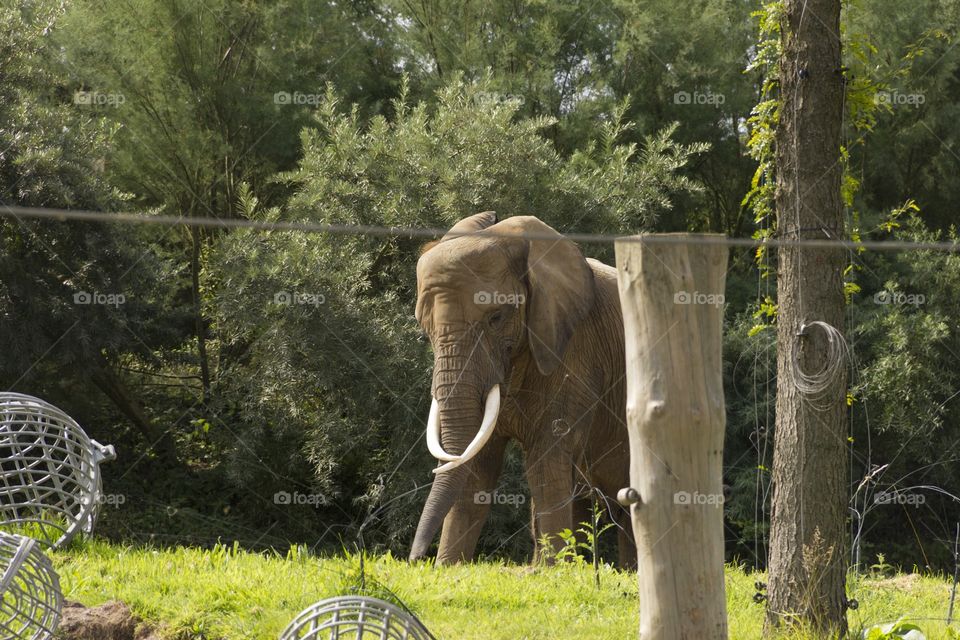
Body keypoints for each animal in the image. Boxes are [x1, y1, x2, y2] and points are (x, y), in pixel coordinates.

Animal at [408, 210, 632, 564]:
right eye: (423, 325)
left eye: (496, 318)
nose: (415, 558)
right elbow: (476, 465)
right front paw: (450, 567)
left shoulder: (573, 348)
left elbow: (546, 461)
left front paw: (552, 571)